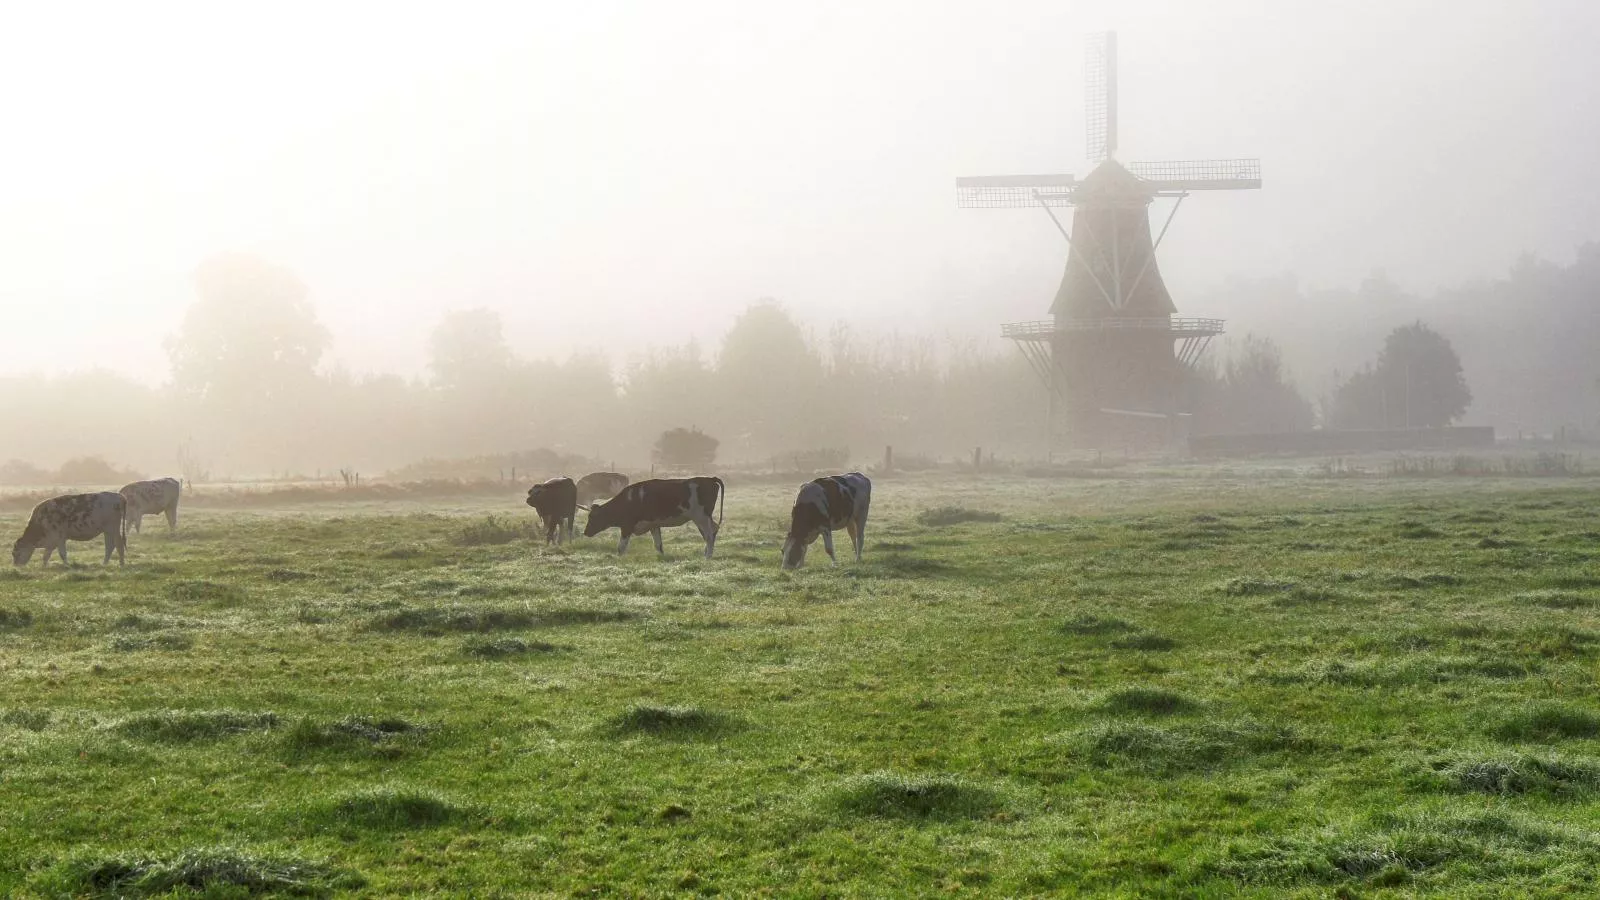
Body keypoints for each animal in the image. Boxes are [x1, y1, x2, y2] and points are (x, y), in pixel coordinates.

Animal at [585, 477, 729, 554]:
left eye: (592, 517)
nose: (585, 532)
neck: (629, 500)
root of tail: (709, 479)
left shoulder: (627, 526)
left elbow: (621, 547)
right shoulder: (653, 525)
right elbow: (658, 545)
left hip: (701, 517)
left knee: (709, 535)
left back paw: (707, 556)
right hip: (704, 518)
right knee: (713, 530)